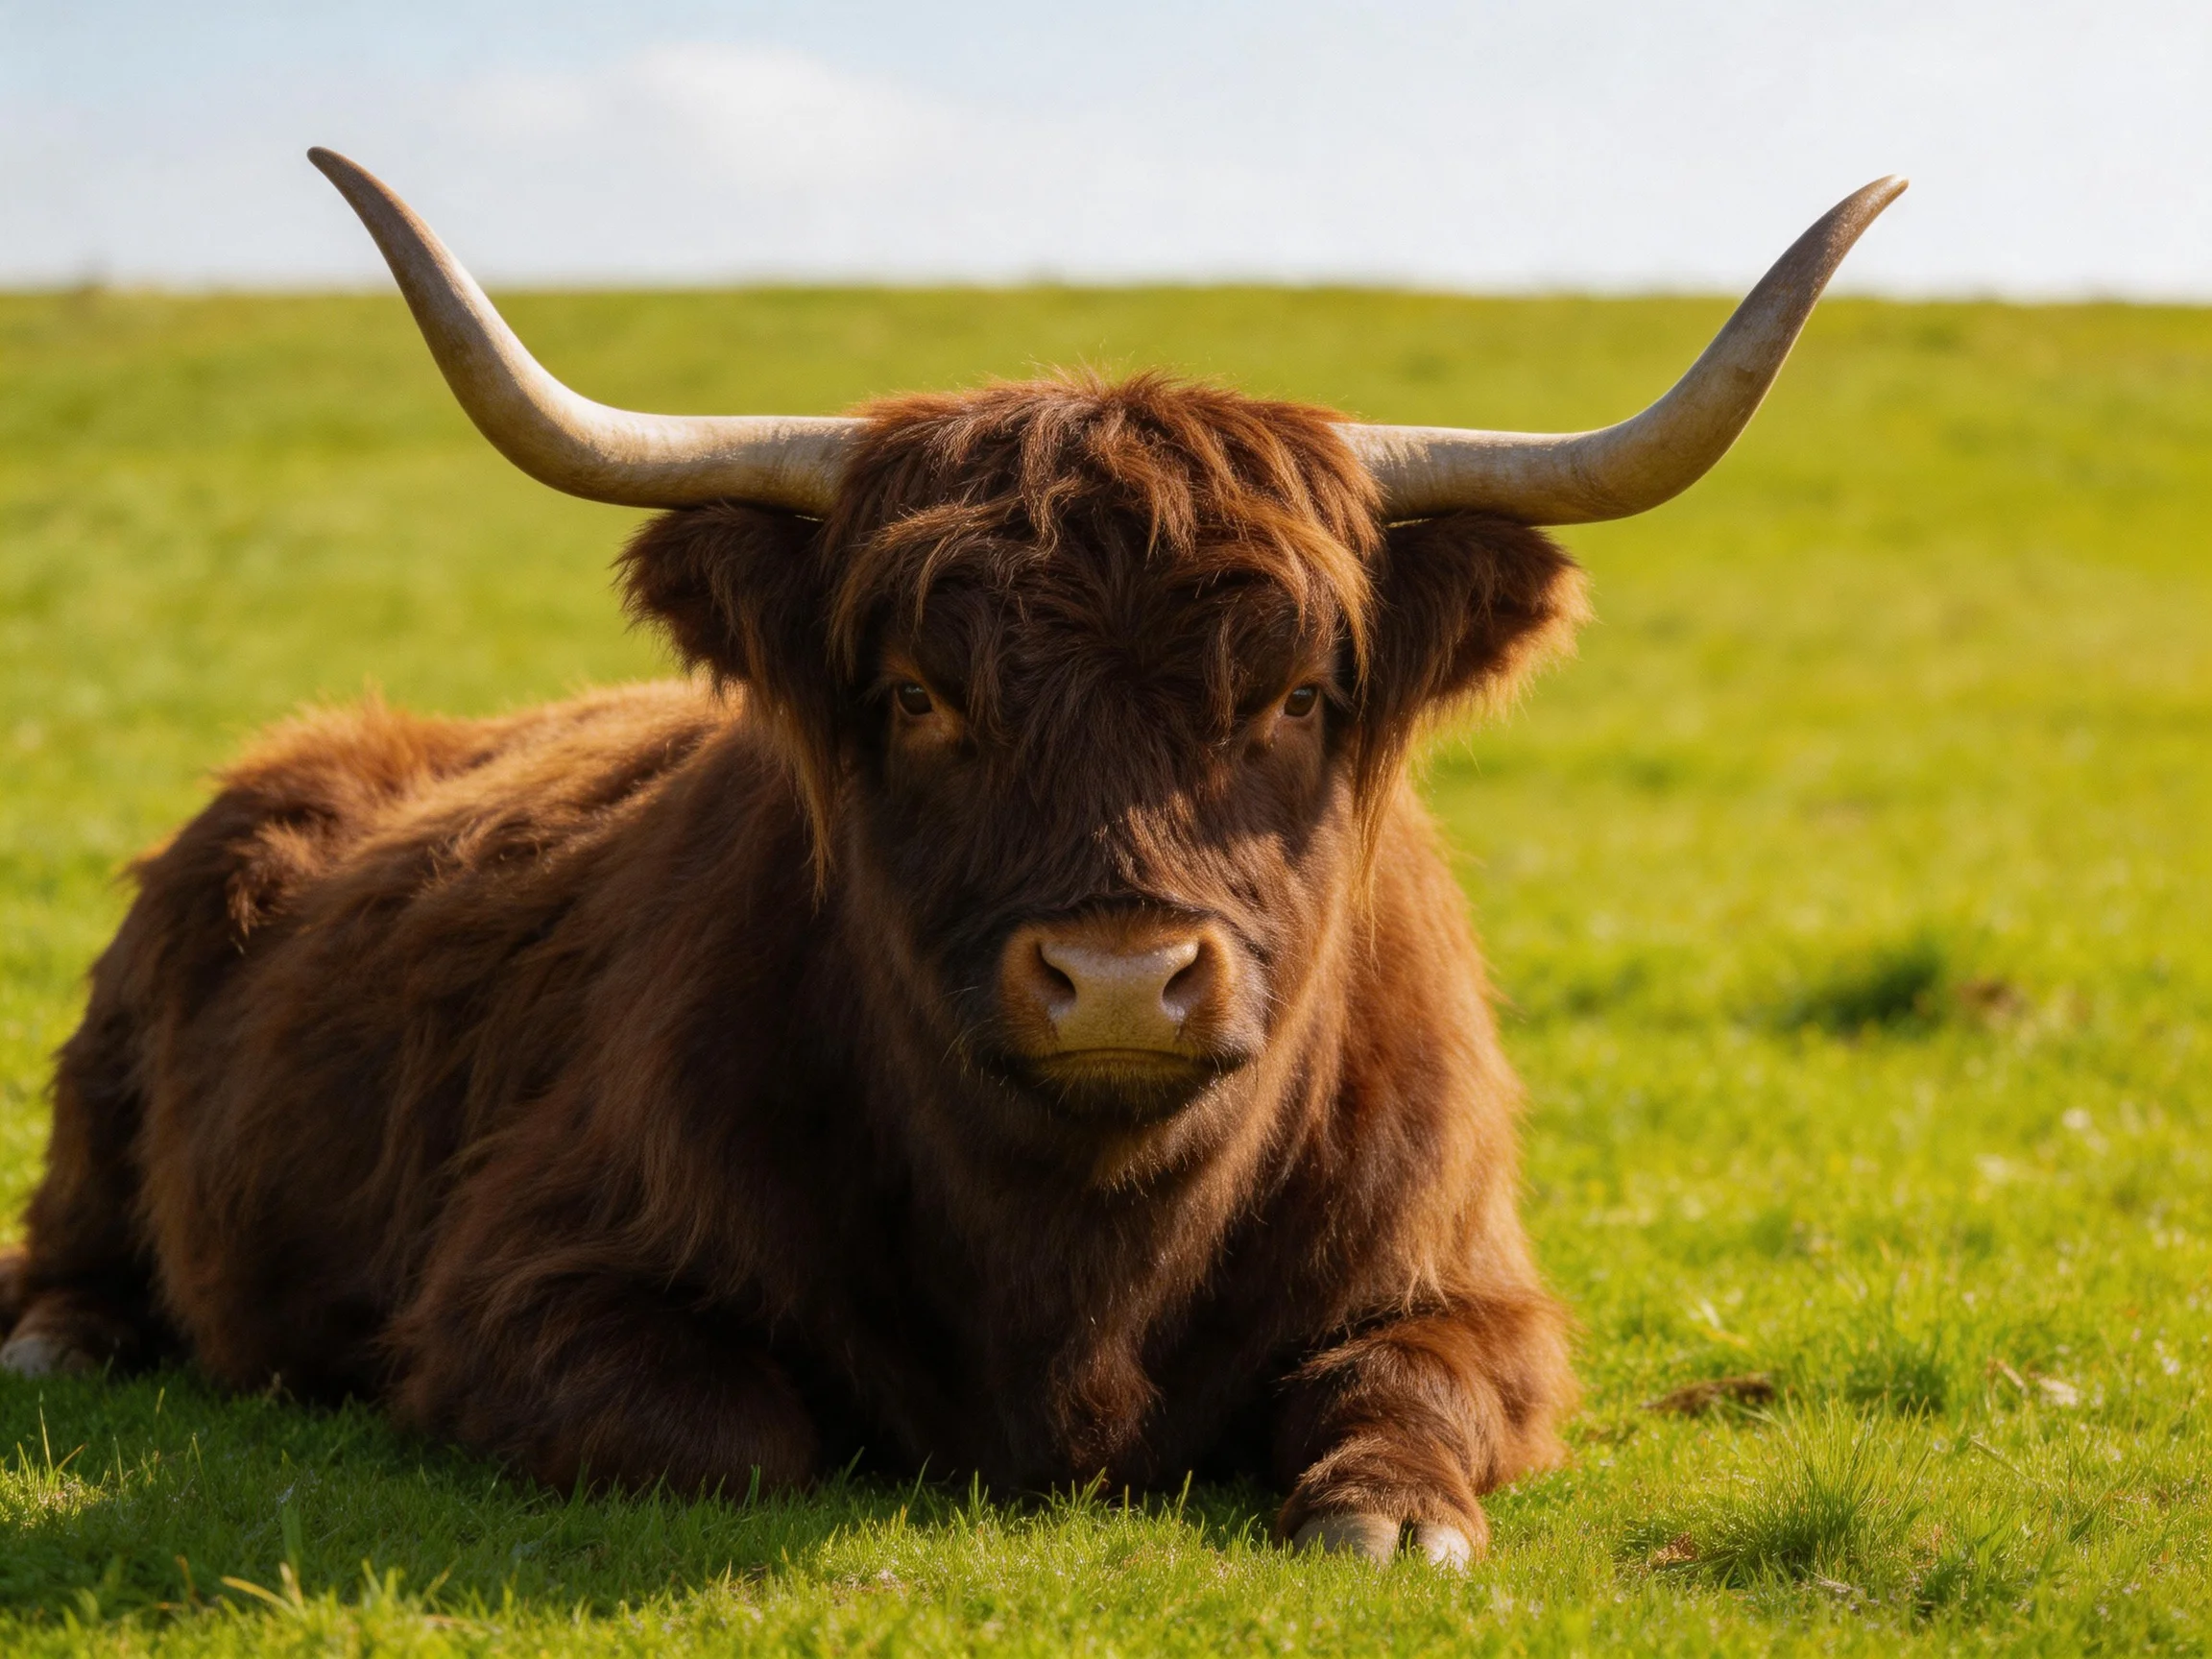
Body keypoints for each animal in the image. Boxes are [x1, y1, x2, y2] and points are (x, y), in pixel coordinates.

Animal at [0, 151, 1901, 1566]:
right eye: (919, 696)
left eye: (1294, 695)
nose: (1120, 978)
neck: (1079, 1268)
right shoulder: (516, 1282)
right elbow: (725, 1437)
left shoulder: (1473, 1286)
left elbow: (1414, 1410)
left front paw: (1384, 1512)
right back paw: (59, 1336)